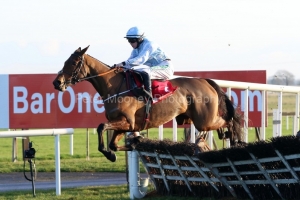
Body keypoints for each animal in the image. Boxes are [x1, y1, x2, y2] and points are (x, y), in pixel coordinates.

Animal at [52, 46, 243, 162]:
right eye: (65, 61)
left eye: (73, 62)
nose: (57, 82)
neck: (114, 86)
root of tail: (204, 80)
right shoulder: (125, 124)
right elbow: (114, 143)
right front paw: (129, 144)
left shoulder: (127, 122)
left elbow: (101, 127)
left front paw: (111, 152)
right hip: (197, 119)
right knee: (221, 124)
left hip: (204, 120)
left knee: (229, 120)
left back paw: (234, 137)